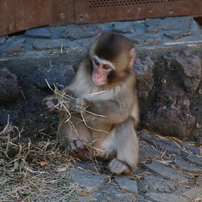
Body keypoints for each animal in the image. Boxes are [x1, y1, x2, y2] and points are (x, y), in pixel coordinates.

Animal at [44, 32, 139, 174]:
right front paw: (56, 103)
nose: (96, 74)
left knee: (125, 121)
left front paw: (85, 106)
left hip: (108, 148)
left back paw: (124, 165)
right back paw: (79, 148)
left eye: (106, 67)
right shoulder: (83, 67)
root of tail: (96, 148)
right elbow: (70, 92)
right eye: (96, 62)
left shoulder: (129, 81)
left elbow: (120, 109)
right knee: (71, 113)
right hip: (89, 142)